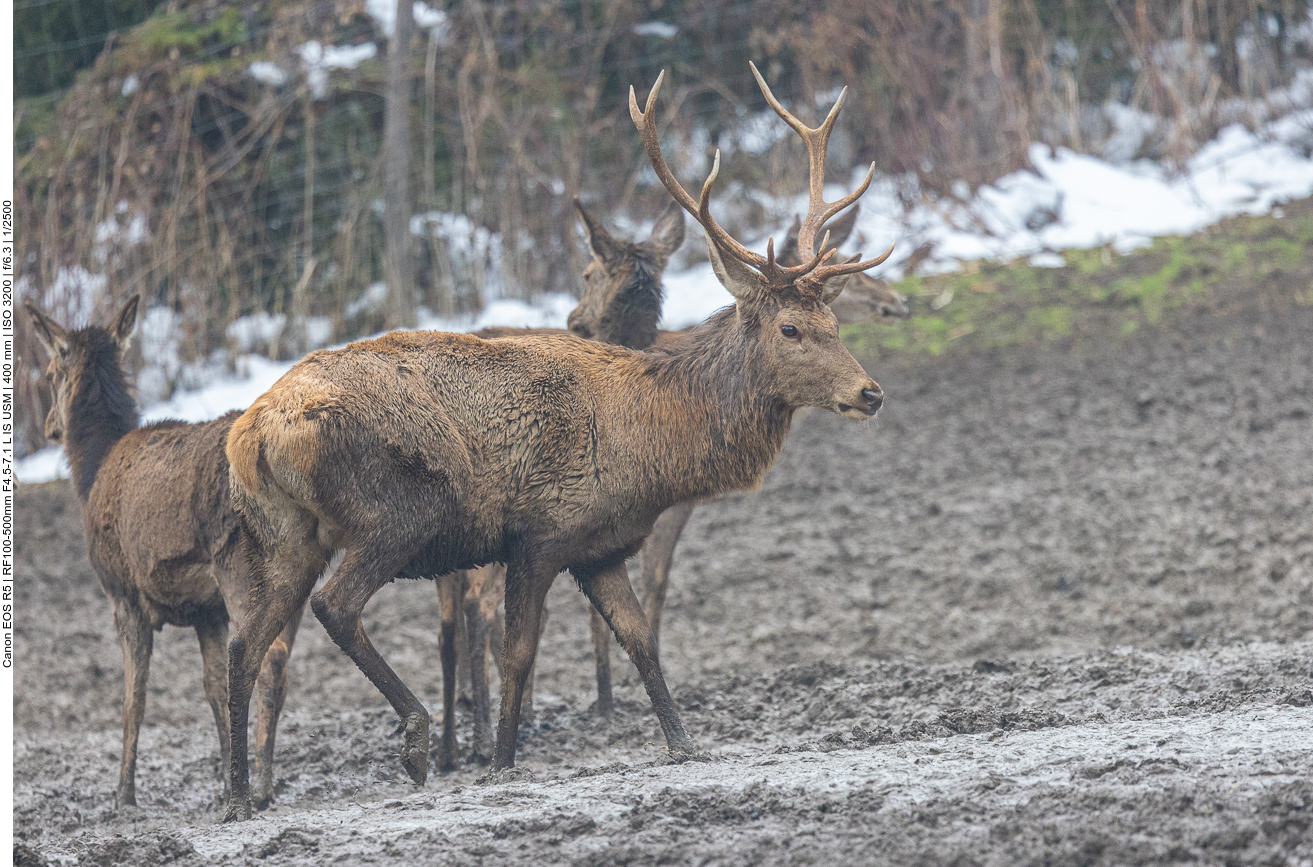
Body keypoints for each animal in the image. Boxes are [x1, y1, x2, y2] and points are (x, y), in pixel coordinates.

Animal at [24, 296, 300, 812]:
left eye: (50, 373)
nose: (50, 427)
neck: (91, 475)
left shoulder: (122, 596)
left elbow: (134, 697)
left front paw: (123, 795)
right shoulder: (206, 611)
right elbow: (212, 686)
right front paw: (222, 777)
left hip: (239, 567)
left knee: (267, 657)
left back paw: (258, 789)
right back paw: (260, 783)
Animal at [220, 61, 889, 821]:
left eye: (833, 319)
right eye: (790, 328)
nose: (870, 392)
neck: (648, 446)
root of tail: (252, 429)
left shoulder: (600, 547)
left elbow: (641, 640)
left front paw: (684, 744)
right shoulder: (539, 535)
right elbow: (519, 653)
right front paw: (503, 761)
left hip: (287, 533)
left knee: (244, 644)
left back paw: (238, 796)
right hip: (394, 511)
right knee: (336, 605)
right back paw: (415, 742)